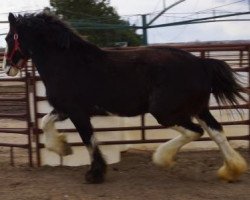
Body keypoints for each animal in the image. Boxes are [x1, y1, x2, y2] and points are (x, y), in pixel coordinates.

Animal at [4, 12, 247, 184]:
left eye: (8, 37)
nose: (8, 68)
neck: (67, 62)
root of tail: (201, 63)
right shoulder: (64, 109)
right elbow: (45, 122)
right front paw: (62, 149)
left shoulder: (77, 112)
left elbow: (89, 139)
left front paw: (95, 174)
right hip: (198, 108)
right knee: (216, 132)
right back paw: (232, 171)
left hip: (166, 112)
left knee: (195, 131)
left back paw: (163, 158)